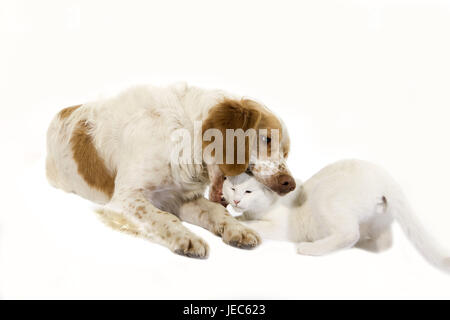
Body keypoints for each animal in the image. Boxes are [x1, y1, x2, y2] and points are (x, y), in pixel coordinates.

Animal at [224, 159, 450, 272]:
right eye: (232, 189)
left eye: (248, 192)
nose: (235, 201)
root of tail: (383, 175)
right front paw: (237, 219)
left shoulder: (281, 227)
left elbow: (256, 224)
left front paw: (237, 223)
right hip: (379, 221)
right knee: (382, 242)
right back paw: (365, 245)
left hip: (326, 197)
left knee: (349, 234)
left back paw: (310, 248)